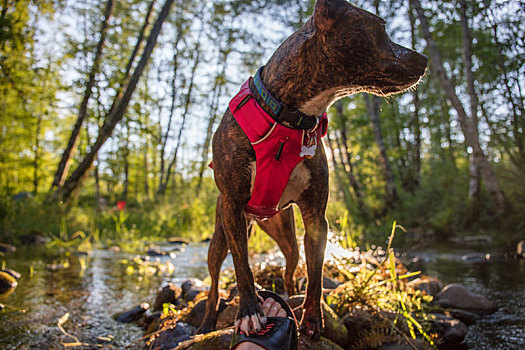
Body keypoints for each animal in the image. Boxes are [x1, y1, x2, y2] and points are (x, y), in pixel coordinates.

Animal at [196, 0, 426, 340]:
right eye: (381, 28)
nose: (424, 59)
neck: (292, 115)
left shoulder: (316, 217)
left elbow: (315, 275)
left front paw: (313, 320)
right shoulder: (233, 206)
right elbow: (242, 267)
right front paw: (249, 311)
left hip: (285, 233)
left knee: (290, 266)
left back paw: (288, 296)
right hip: (220, 234)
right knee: (213, 282)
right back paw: (208, 320)